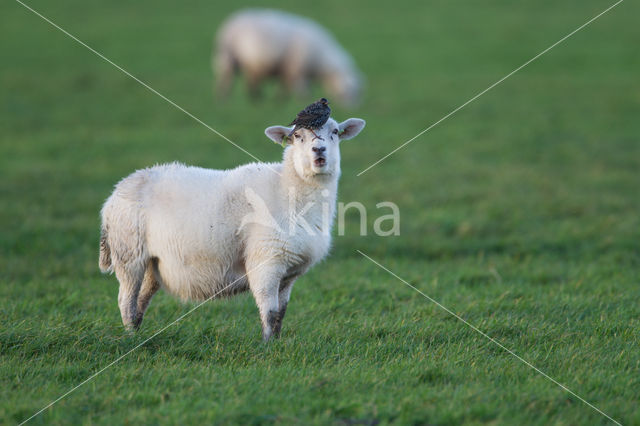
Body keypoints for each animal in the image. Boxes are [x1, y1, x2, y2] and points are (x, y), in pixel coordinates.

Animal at [102, 115, 368, 340]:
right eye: (297, 136)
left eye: (335, 132)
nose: (318, 150)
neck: (287, 188)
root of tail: (115, 193)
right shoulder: (266, 261)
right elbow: (269, 311)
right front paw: (267, 347)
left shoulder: (288, 273)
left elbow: (281, 313)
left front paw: (277, 342)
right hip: (129, 254)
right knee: (126, 300)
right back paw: (131, 338)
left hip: (152, 263)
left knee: (140, 301)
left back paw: (137, 334)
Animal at [214, 8, 362, 106]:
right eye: (347, 92)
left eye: (358, 93)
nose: (352, 109)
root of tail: (233, 19)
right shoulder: (297, 69)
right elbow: (301, 90)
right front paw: (302, 102)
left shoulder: (288, 70)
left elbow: (285, 87)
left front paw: (279, 102)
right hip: (228, 57)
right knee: (226, 81)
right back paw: (224, 101)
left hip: (250, 64)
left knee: (251, 82)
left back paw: (256, 100)